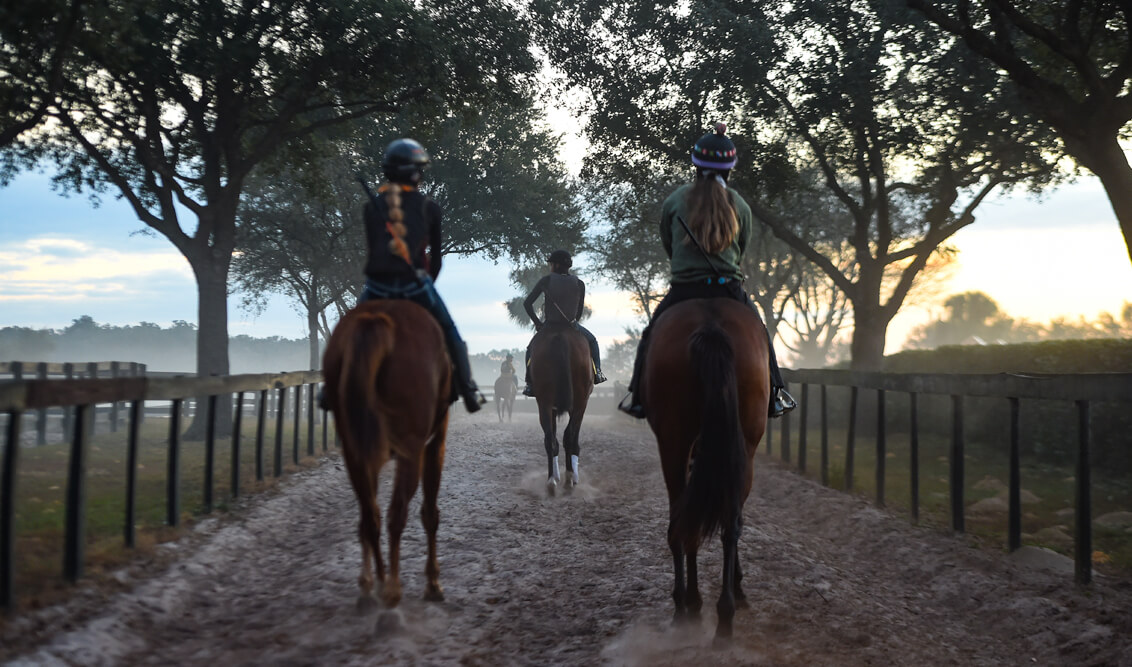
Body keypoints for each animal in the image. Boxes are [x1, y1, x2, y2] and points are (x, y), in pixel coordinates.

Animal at [319, 298, 450, 611]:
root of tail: (376, 321)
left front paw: (366, 581)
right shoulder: (433, 443)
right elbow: (429, 513)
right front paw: (433, 583)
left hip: (355, 451)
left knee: (370, 516)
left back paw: (377, 583)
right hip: (410, 452)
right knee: (396, 514)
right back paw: (391, 589)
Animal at [529, 321, 597, 493]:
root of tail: (560, 335)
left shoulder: (551, 407)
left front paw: (557, 475)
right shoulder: (581, 405)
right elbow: (574, 437)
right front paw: (572, 475)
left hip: (544, 402)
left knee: (549, 438)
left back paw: (551, 481)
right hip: (579, 401)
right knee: (569, 435)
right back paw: (569, 478)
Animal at [642, 296, 774, 638]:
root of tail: (710, 325)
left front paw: (693, 600)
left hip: (675, 445)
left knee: (683, 521)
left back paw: (685, 606)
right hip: (741, 449)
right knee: (729, 523)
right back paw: (724, 616)